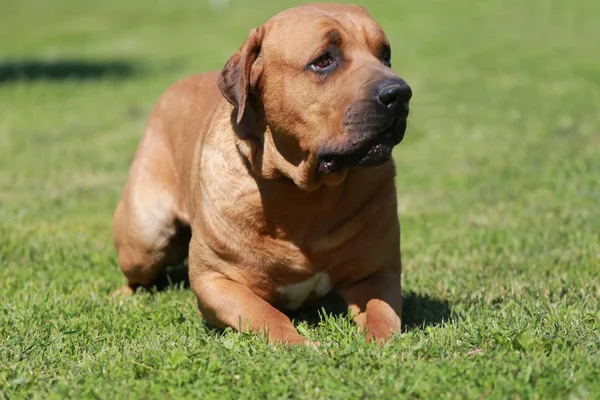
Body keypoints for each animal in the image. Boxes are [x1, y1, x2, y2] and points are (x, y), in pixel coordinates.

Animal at [113, 3, 412, 346]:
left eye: (385, 54)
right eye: (324, 60)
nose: (400, 93)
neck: (304, 195)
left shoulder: (377, 272)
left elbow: (382, 315)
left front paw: (380, 343)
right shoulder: (215, 280)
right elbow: (266, 314)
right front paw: (299, 344)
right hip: (145, 238)